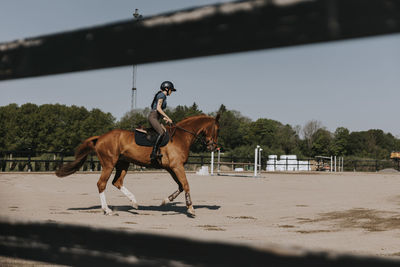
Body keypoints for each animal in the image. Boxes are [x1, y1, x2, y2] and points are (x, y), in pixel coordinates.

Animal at [55, 114, 219, 217]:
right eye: (217, 129)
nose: (213, 147)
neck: (181, 136)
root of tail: (100, 137)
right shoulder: (177, 166)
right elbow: (185, 184)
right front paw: (191, 209)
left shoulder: (171, 168)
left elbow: (180, 185)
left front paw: (166, 200)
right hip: (109, 164)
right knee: (102, 184)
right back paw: (107, 210)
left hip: (123, 163)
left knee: (117, 182)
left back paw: (133, 202)